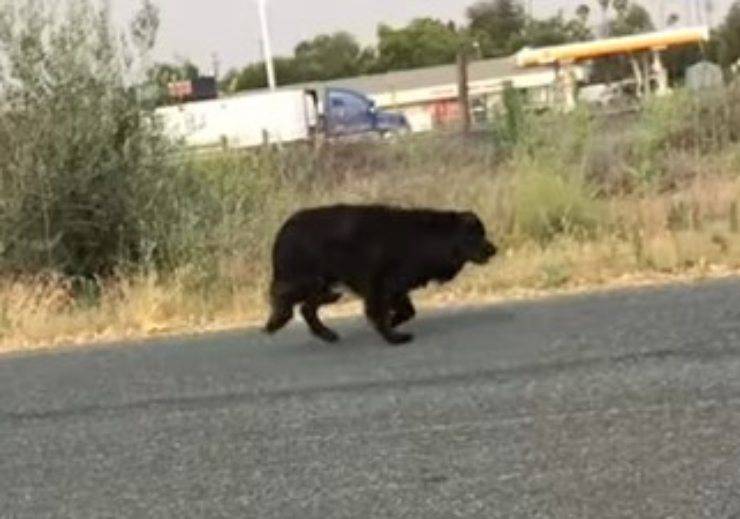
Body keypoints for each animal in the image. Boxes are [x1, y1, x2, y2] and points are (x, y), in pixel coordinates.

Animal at [262, 204, 498, 346]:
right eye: (474, 235)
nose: (494, 250)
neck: (427, 238)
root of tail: (284, 229)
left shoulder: (397, 287)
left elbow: (407, 311)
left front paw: (392, 323)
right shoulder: (378, 284)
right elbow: (380, 312)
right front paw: (393, 336)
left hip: (329, 288)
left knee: (306, 308)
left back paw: (326, 334)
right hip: (307, 280)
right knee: (283, 298)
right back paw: (275, 322)